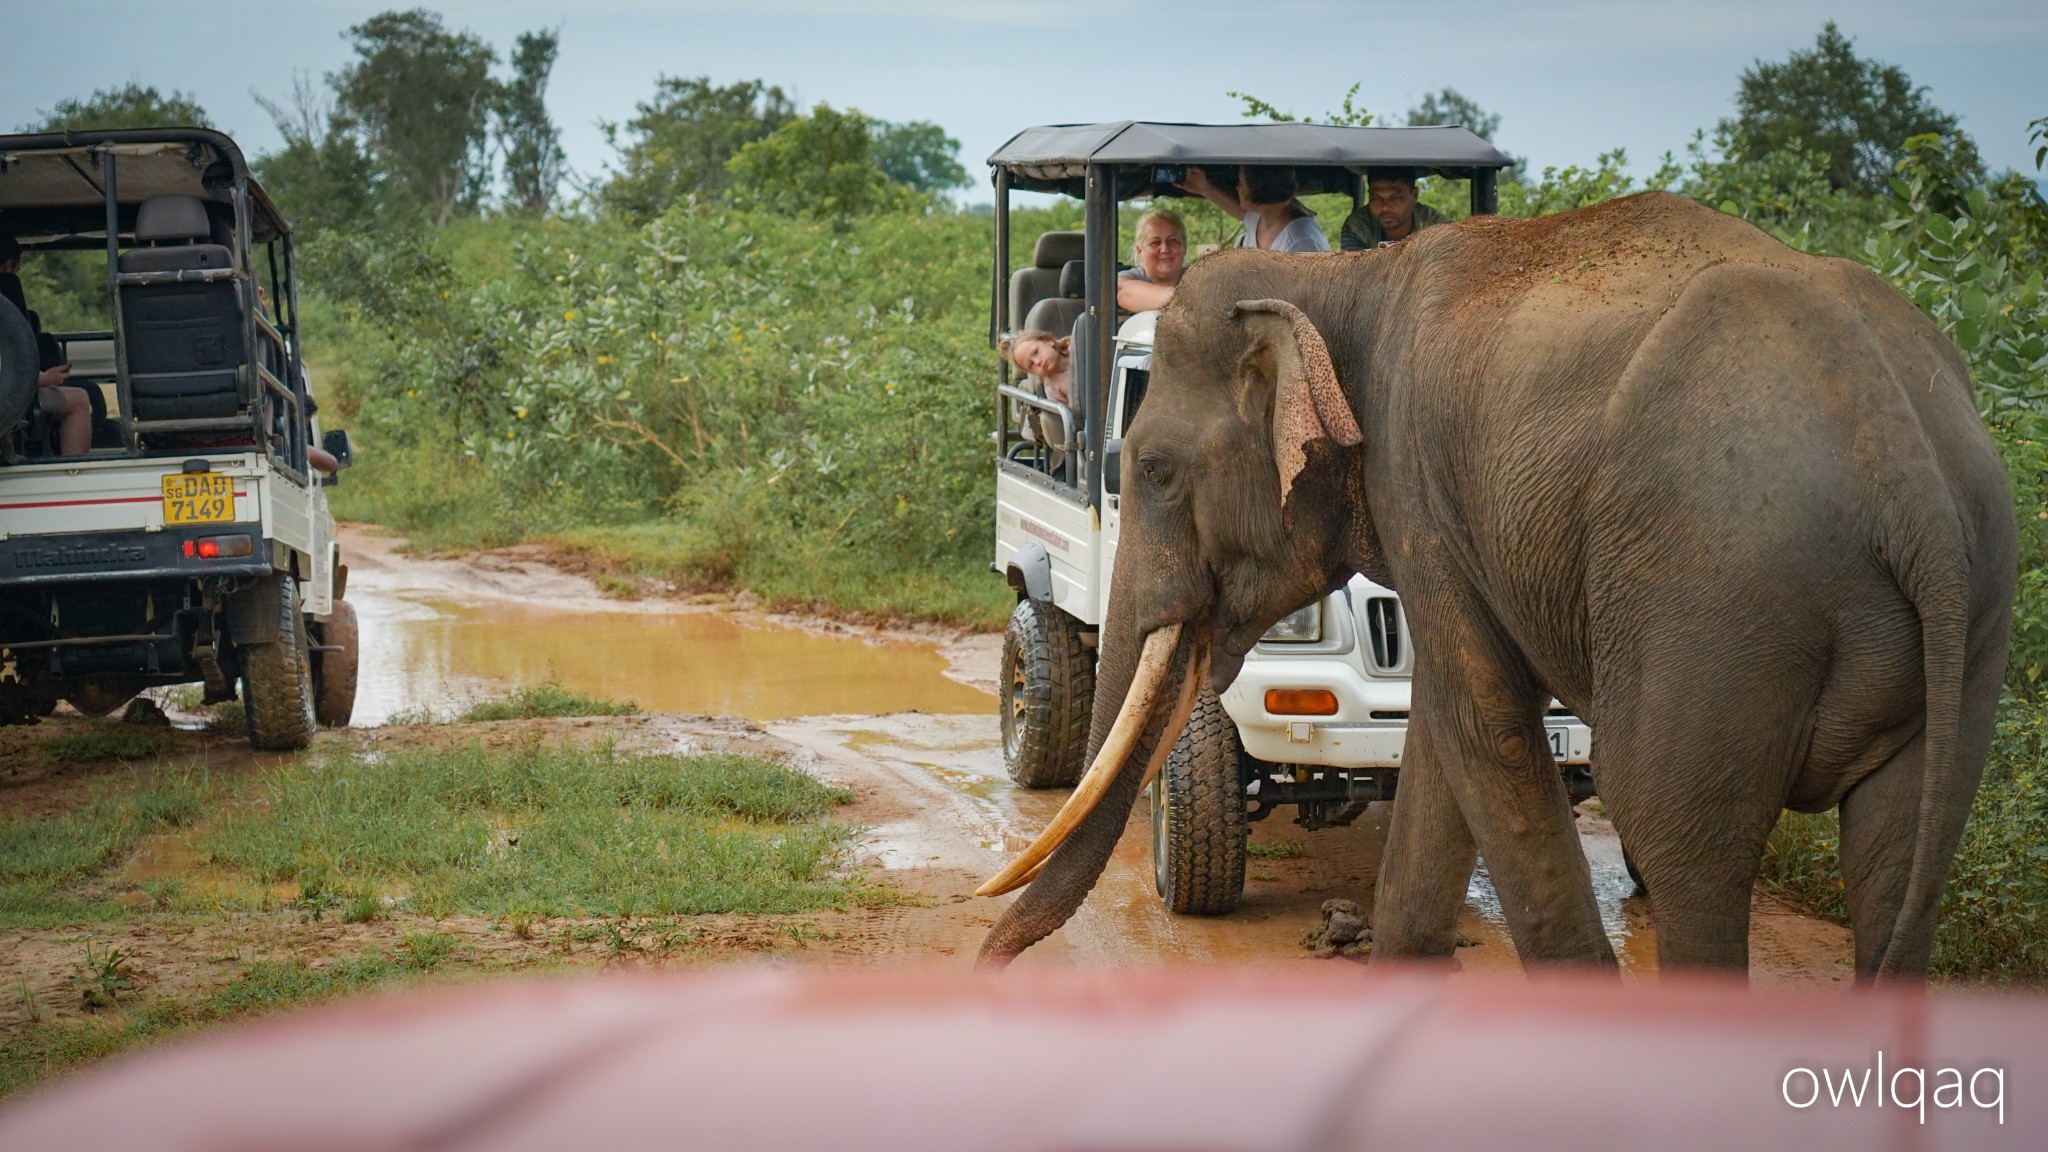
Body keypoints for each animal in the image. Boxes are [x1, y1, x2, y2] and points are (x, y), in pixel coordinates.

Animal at [974, 190, 2015, 975]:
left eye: (1154, 470)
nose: (987, 958)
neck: (1341, 283)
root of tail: (1906, 469)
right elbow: (1450, 732)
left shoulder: (1420, 484)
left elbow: (1487, 729)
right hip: (1965, 618)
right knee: (1896, 855)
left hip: (1715, 595)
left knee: (1679, 835)